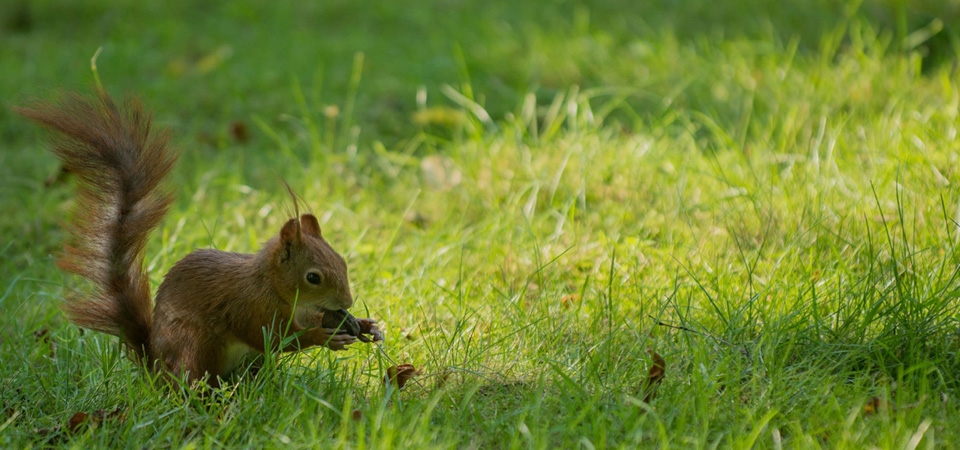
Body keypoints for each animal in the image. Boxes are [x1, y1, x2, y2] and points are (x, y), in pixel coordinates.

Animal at [16, 90, 380, 386]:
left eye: (343, 262)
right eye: (313, 277)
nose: (347, 302)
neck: (275, 288)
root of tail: (156, 367)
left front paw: (364, 324)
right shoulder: (249, 307)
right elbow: (272, 338)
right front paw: (326, 336)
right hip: (197, 344)